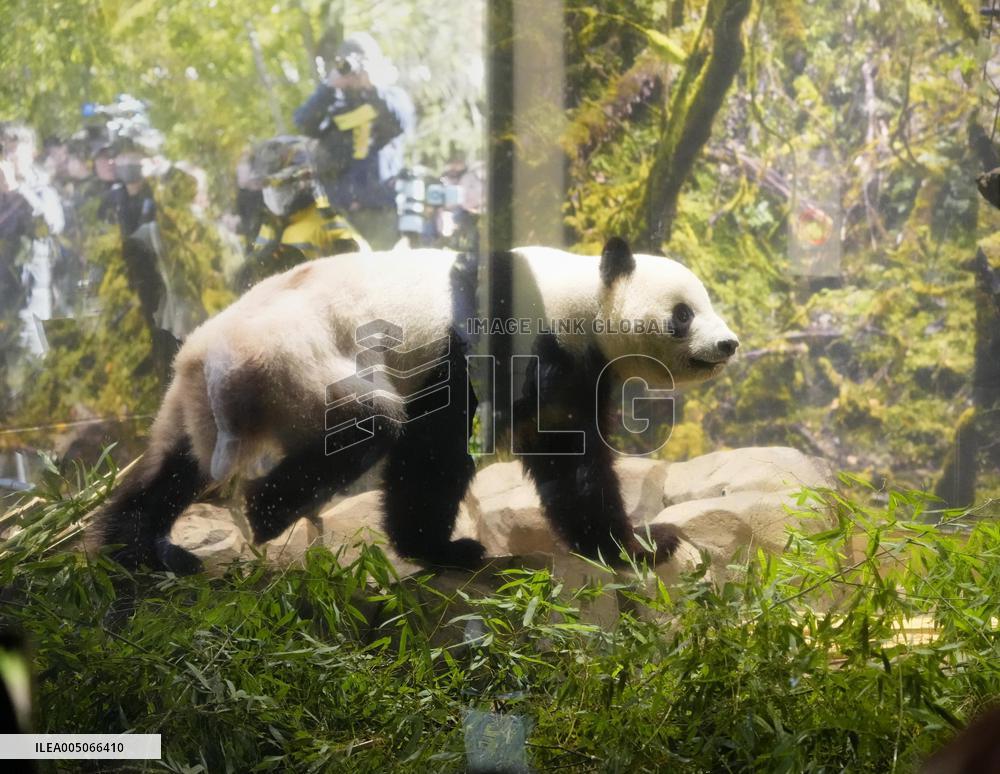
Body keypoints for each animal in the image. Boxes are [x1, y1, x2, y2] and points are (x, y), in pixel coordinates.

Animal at [92, 238, 738, 574]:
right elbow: (437, 446)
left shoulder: (568, 368)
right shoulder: (494, 342)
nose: (728, 344)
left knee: (169, 471)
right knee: (367, 423)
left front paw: (639, 544)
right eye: (684, 314)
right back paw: (267, 510)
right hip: (297, 362)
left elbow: (569, 457)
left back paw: (141, 549)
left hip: (190, 405)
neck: (576, 298)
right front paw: (441, 548)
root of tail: (202, 359)